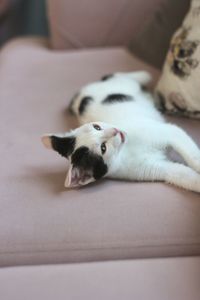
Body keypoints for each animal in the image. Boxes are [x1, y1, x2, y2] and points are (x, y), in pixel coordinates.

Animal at [41, 71, 200, 192]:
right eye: (103, 148)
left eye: (97, 127)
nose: (115, 131)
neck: (125, 151)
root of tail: (78, 99)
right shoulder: (158, 168)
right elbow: (184, 175)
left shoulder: (170, 132)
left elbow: (193, 156)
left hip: (119, 84)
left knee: (118, 75)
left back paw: (143, 75)